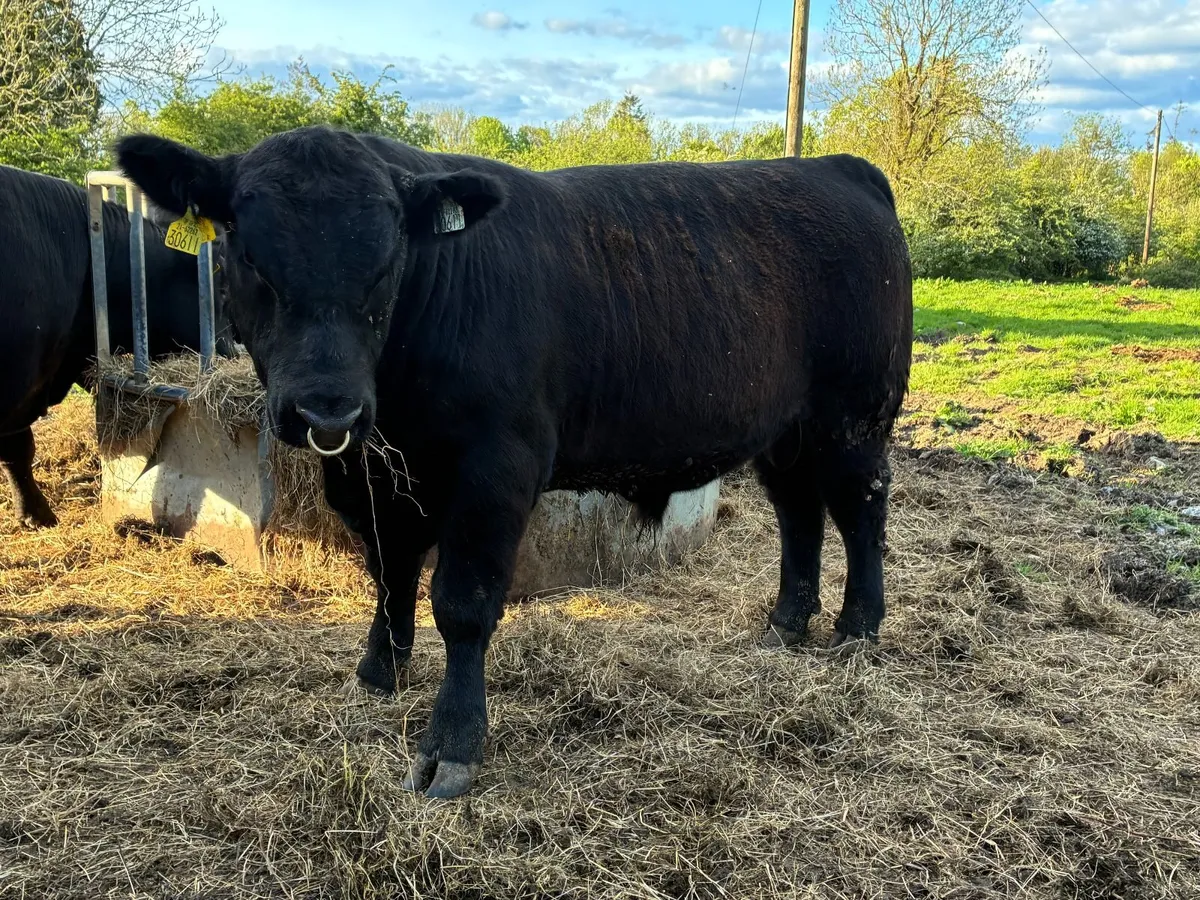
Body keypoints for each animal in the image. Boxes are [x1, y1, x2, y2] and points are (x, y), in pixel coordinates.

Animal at [116, 125, 913, 799]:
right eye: (249, 254)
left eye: (386, 262)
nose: (327, 412)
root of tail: (835, 167)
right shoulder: (372, 478)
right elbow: (389, 575)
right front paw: (379, 672)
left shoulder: (495, 471)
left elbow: (462, 604)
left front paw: (451, 746)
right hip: (788, 435)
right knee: (799, 515)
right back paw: (786, 624)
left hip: (854, 419)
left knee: (861, 511)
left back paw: (857, 627)